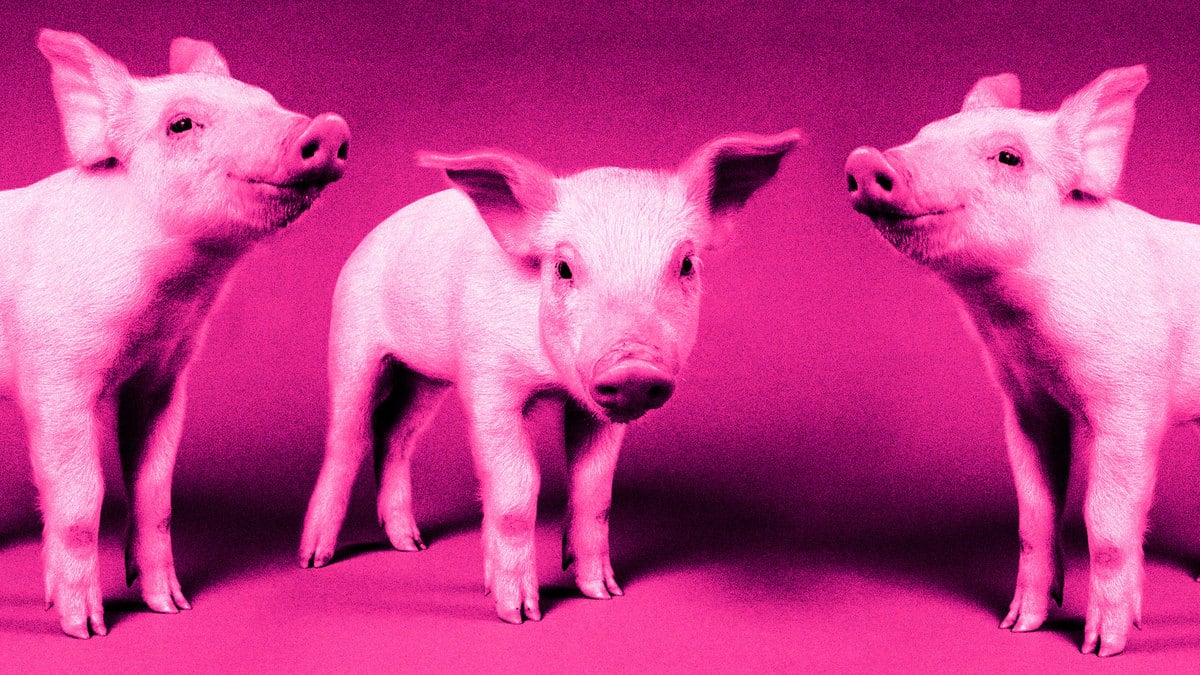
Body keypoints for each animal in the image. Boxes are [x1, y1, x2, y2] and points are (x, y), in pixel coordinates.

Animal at [0, 30, 348, 638]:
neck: (171, 299)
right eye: (181, 124)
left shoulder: (163, 377)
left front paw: (171, 606)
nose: (327, 126)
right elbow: (80, 500)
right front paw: (86, 629)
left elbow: (155, 492)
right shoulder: (54, 376)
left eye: (266, 100)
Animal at [299, 130, 801, 622]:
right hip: (352, 338)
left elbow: (595, 492)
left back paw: (412, 545)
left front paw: (604, 594)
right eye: (563, 268)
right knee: (349, 436)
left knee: (395, 431)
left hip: (426, 375)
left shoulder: (597, 411)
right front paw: (520, 615)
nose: (633, 365)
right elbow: (517, 488)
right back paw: (315, 559)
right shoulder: (488, 383)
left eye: (686, 265)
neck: (550, 378)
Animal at [842, 65, 1199, 656]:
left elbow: (1106, 523)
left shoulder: (1130, 403)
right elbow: (1034, 513)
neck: (1015, 323)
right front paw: (1019, 626)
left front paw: (1101, 648)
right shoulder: (1025, 402)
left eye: (1009, 157)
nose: (867, 159)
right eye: (925, 133)